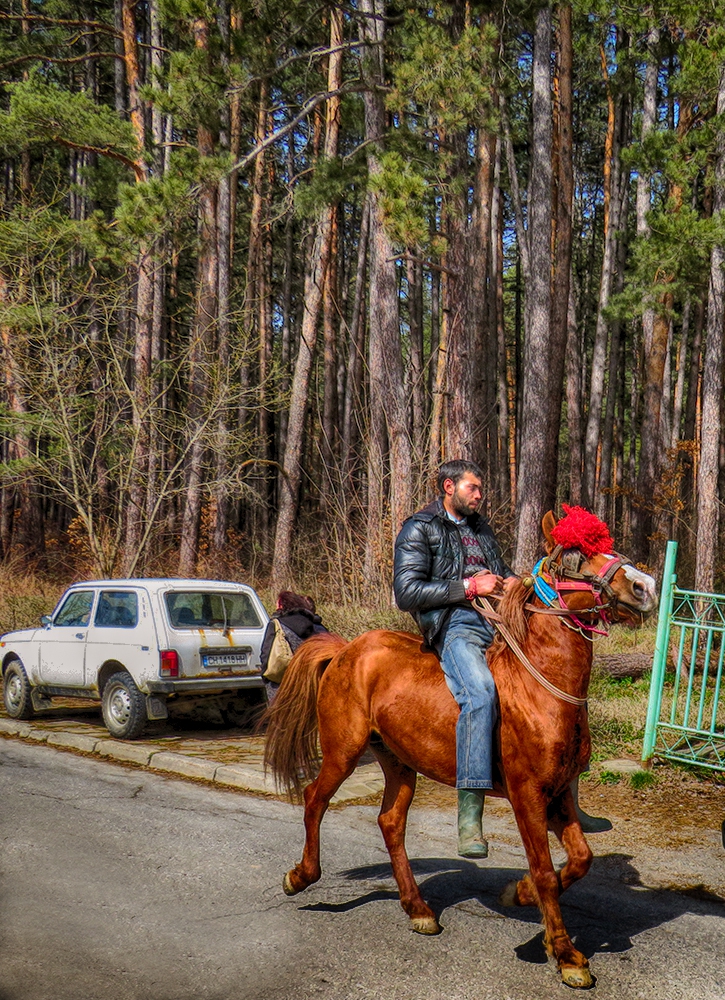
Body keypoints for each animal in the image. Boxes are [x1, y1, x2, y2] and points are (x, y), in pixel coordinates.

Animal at [264, 516, 656, 992]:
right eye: (576, 557)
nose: (644, 586)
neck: (539, 686)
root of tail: (345, 651)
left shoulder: (560, 792)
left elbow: (581, 860)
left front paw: (519, 893)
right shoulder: (528, 797)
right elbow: (546, 872)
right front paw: (566, 955)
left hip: (399, 762)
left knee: (390, 823)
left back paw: (418, 909)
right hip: (344, 751)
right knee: (314, 800)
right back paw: (300, 876)